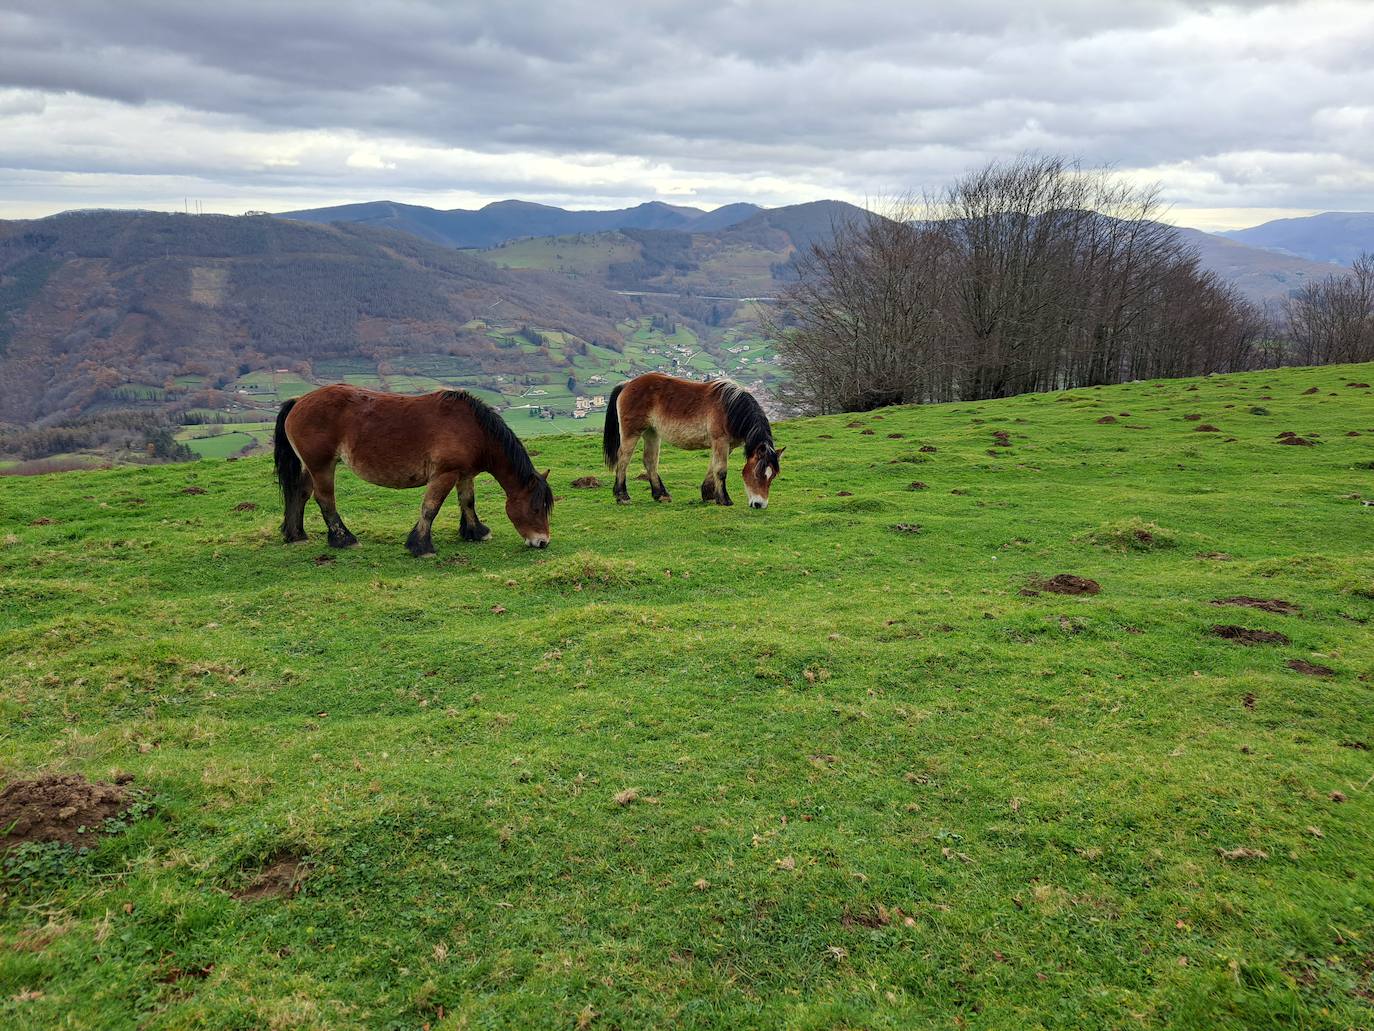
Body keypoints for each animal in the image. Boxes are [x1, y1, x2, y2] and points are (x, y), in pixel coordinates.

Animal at [273, 384, 552, 558]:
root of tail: (299, 401)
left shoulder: (464, 474)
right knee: (325, 500)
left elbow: (468, 502)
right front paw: (422, 546)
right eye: (535, 508)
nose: (542, 542)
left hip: (312, 467)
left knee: (300, 493)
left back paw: (296, 535)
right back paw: (344, 539)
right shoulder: (444, 474)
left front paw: (476, 532)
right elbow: (430, 507)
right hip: (322, 466)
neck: (473, 429)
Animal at [601, 376, 785, 514]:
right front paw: (724, 499)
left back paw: (661, 495)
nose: (759, 504)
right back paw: (622, 496)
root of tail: (627, 384)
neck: (730, 409)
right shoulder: (721, 441)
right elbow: (721, 471)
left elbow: (713, 468)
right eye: (756, 474)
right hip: (632, 433)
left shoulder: (725, 445)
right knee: (623, 460)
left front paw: (709, 494)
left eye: (772, 476)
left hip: (652, 433)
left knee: (650, 461)